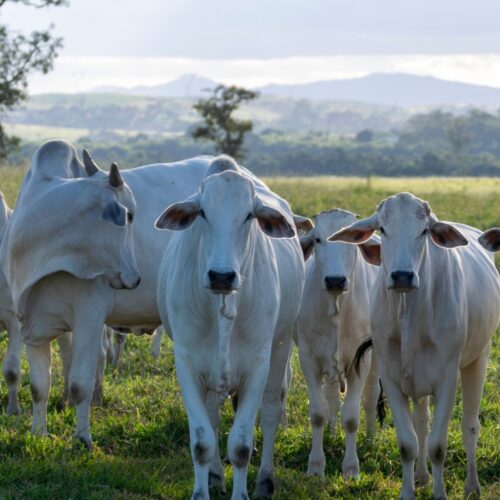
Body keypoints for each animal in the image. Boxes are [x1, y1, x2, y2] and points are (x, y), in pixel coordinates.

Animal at [156, 157, 304, 500]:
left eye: (249, 214)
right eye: (202, 213)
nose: (221, 276)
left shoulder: (257, 367)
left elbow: (241, 446)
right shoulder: (187, 364)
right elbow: (202, 441)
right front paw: (202, 490)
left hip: (281, 349)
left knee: (271, 413)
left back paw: (265, 481)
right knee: (212, 416)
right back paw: (214, 476)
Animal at [294, 209, 380, 478]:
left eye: (351, 241)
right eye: (318, 239)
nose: (335, 280)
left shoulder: (361, 359)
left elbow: (351, 417)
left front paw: (351, 468)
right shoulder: (308, 357)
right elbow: (318, 412)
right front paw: (315, 465)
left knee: (371, 395)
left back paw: (371, 438)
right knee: (331, 396)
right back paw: (331, 433)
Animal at [330, 192, 498, 500]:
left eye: (423, 232)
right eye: (383, 229)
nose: (402, 276)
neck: (409, 312)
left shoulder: (447, 380)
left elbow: (438, 446)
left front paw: (440, 494)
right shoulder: (393, 379)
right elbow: (408, 444)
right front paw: (409, 491)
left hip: (478, 359)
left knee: (470, 426)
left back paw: (472, 486)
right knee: (421, 424)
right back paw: (421, 477)